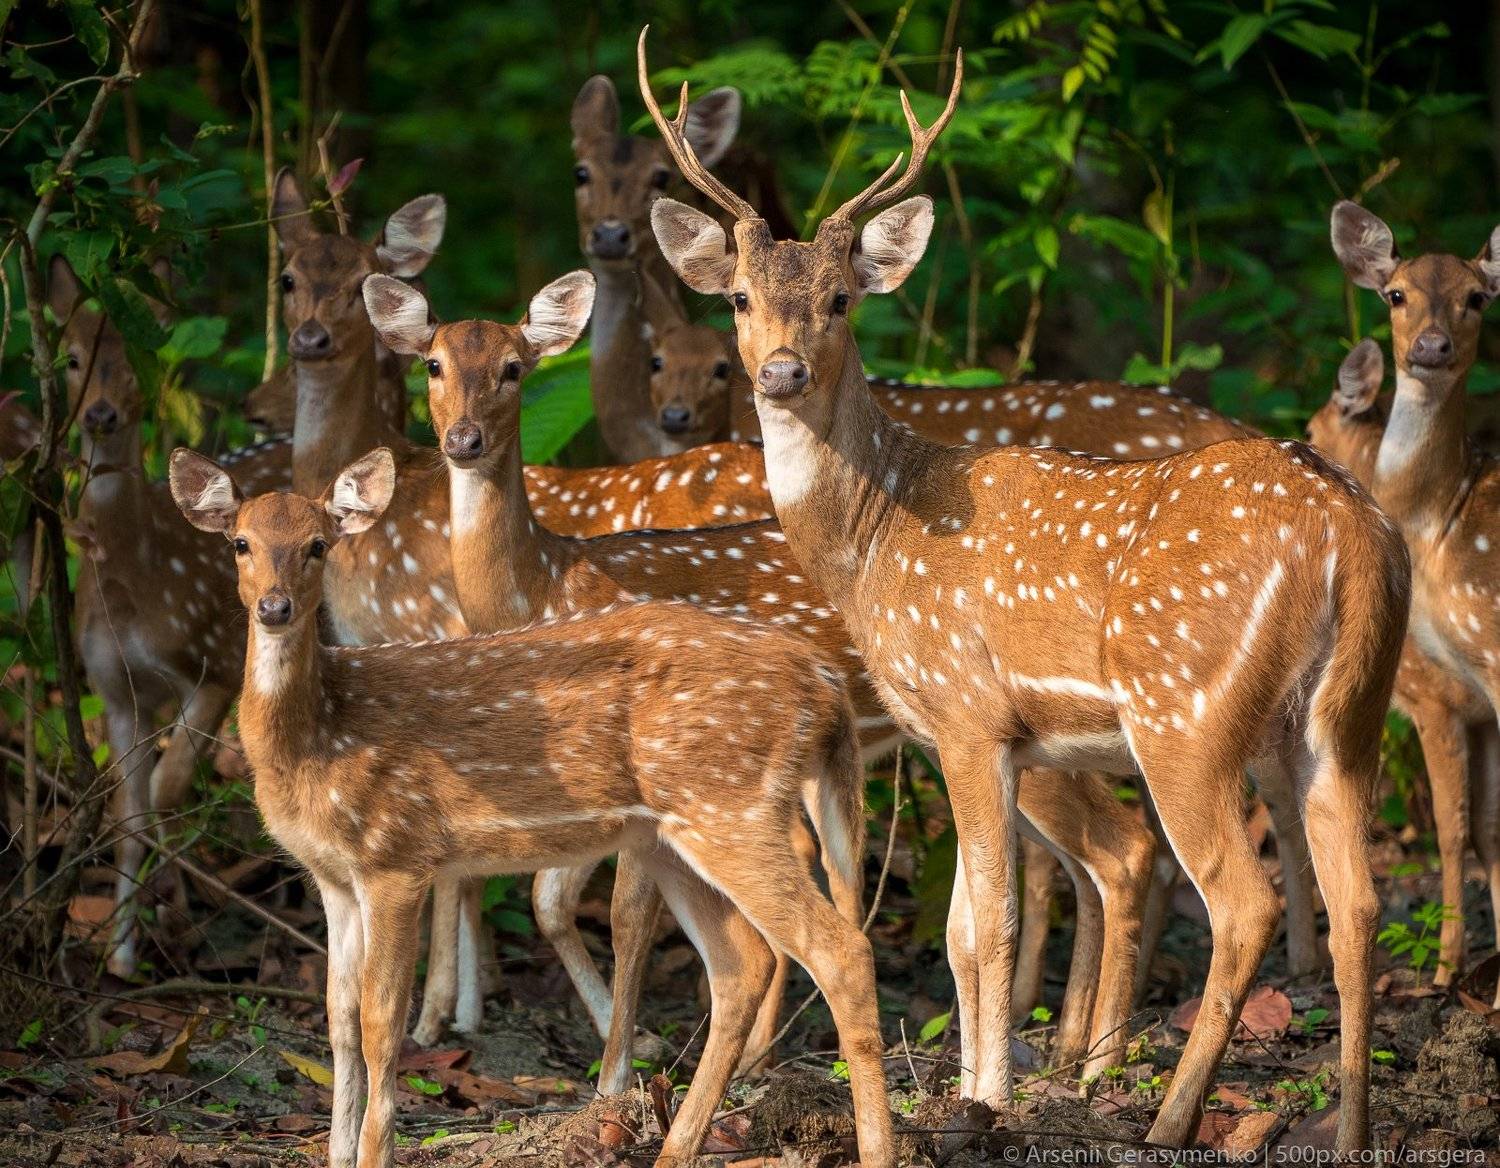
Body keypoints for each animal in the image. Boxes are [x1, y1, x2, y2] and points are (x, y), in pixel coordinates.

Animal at [47, 255, 289, 976]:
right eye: (72, 357)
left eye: (137, 357)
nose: (100, 413)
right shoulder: (113, 687)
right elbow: (127, 817)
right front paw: (122, 955)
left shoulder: (216, 664)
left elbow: (168, 787)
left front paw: (178, 920)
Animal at [167, 444, 892, 1168]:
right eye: (240, 543)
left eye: (318, 544)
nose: (276, 606)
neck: (318, 737)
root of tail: (822, 681)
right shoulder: (332, 876)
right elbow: (338, 1016)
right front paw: (340, 1154)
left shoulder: (395, 855)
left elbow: (380, 1022)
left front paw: (375, 1150)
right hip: (676, 833)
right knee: (743, 963)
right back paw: (674, 1147)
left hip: (730, 806)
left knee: (839, 950)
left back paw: (873, 1148)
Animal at [364, 270, 1161, 1087]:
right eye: (432, 364)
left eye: (513, 368)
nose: (463, 441)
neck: (548, 586)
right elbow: (553, 899)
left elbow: (622, 917)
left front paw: (623, 1072)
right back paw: (1064, 1047)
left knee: (1122, 848)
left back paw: (1093, 1063)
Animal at [641, 32, 1410, 1149]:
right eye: (740, 297)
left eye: (841, 299)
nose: (780, 372)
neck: (876, 537)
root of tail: (1352, 532)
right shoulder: (966, 736)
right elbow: (962, 928)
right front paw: (969, 1086)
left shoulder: (967, 712)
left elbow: (993, 922)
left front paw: (991, 1099)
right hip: (1345, 714)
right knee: (1361, 905)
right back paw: (1347, 1126)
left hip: (1186, 710)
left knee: (1244, 900)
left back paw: (1166, 1117)